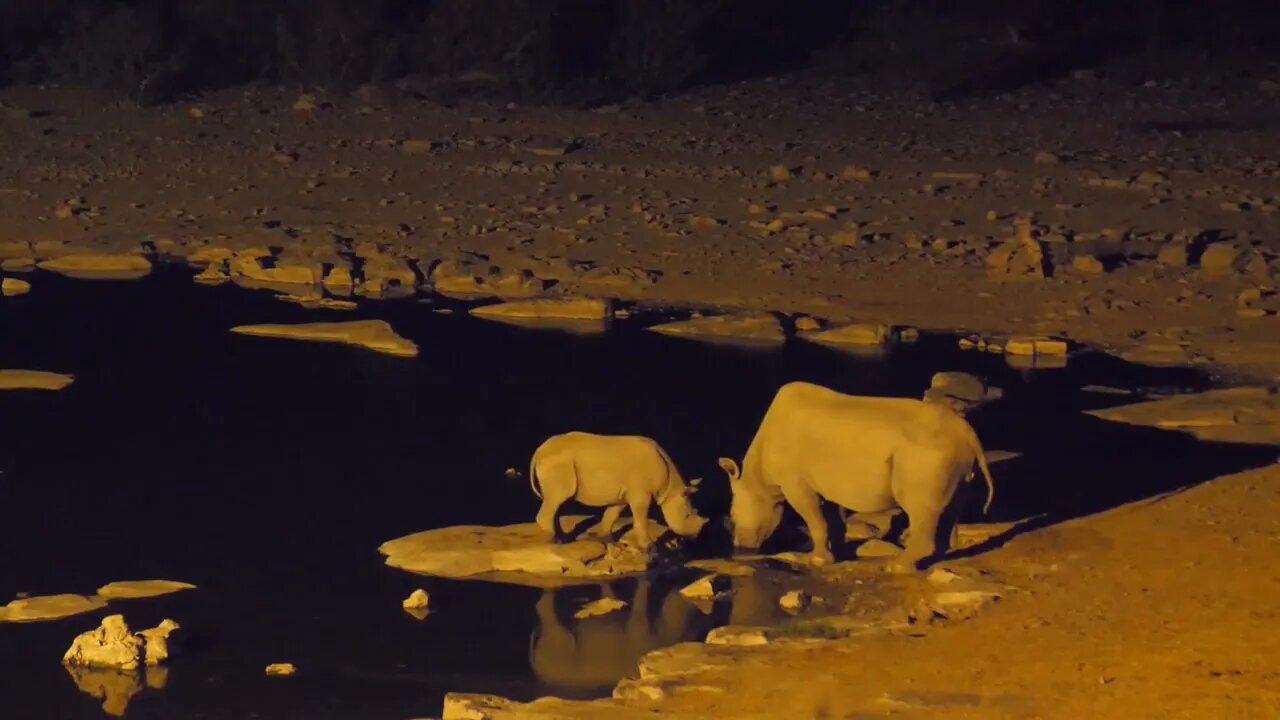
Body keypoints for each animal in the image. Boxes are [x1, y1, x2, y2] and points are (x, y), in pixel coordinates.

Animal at [529, 430, 711, 548]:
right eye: (688, 515)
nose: (694, 537)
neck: (671, 488)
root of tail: (539, 450)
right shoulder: (641, 494)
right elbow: (640, 519)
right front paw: (648, 546)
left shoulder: (623, 495)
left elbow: (612, 514)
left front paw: (603, 536)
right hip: (558, 462)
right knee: (558, 497)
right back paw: (555, 541)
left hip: (556, 461)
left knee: (555, 500)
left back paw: (562, 538)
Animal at [716, 381, 993, 571]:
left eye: (733, 515)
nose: (740, 546)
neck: (757, 478)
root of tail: (969, 434)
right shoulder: (829, 481)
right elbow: (833, 519)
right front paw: (838, 554)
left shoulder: (795, 483)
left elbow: (815, 519)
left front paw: (817, 560)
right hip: (953, 454)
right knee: (950, 507)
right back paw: (927, 561)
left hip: (926, 453)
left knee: (921, 508)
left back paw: (897, 567)